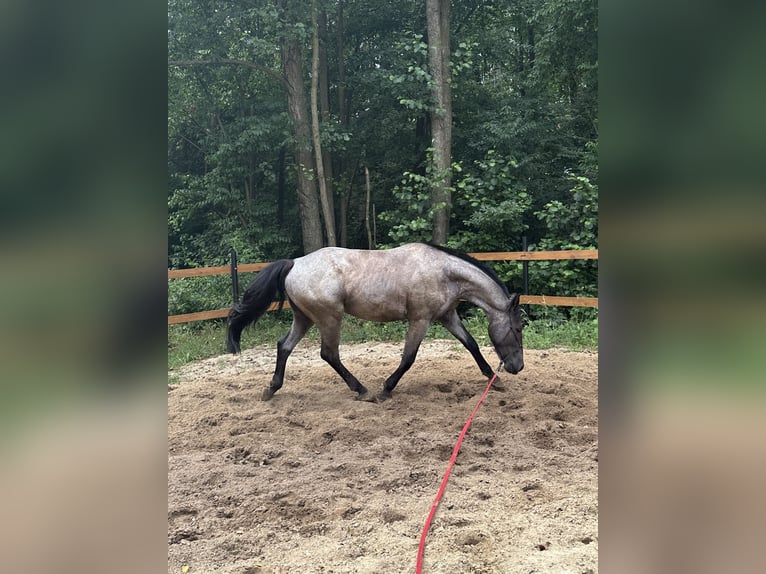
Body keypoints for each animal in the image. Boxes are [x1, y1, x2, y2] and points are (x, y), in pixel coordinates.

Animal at [228, 245, 524, 402]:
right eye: (518, 328)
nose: (517, 367)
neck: (442, 272)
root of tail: (294, 264)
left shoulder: (447, 316)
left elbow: (471, 344)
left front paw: (495, 379)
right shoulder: (420, 320)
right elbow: (408, 358)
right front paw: (385, 389)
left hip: (304, 318)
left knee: (284, 346)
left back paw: (271, 388)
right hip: (329, 318)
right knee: (329, 354)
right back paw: (362, 390)